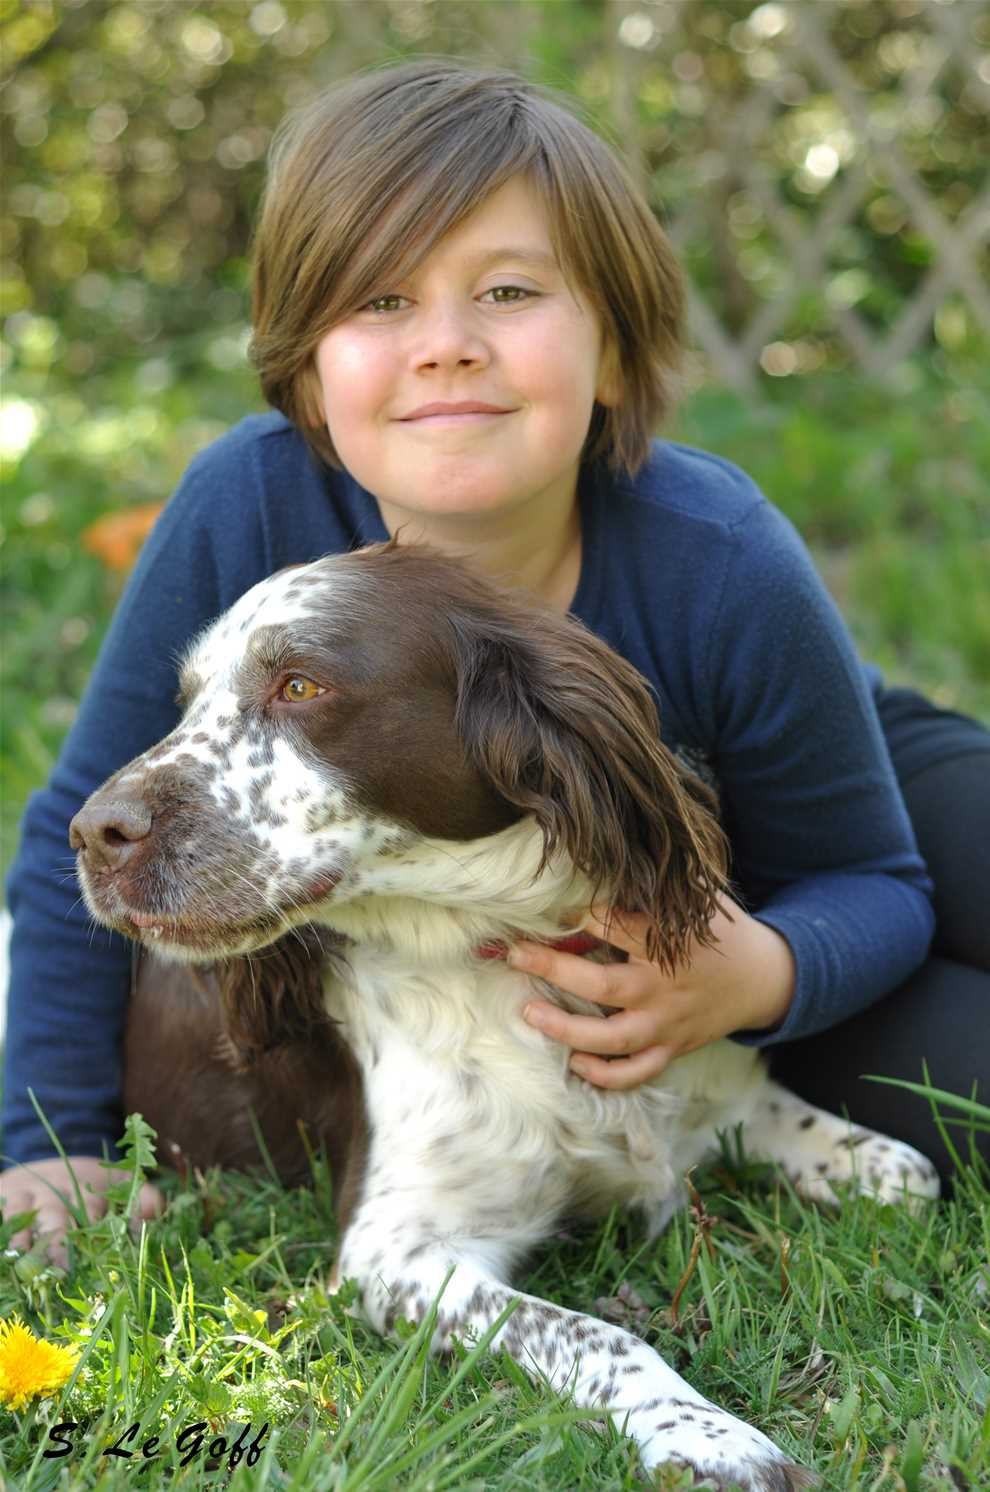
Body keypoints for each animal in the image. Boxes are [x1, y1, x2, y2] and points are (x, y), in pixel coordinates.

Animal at [73, 543, 942, 1486]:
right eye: (189, 699)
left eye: (299, 684)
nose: (92, 833)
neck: (494, 947)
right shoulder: (395, 1253)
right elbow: (599, 1334)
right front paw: (710, 1436)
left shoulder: (723, 1100)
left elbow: (906, 1172)